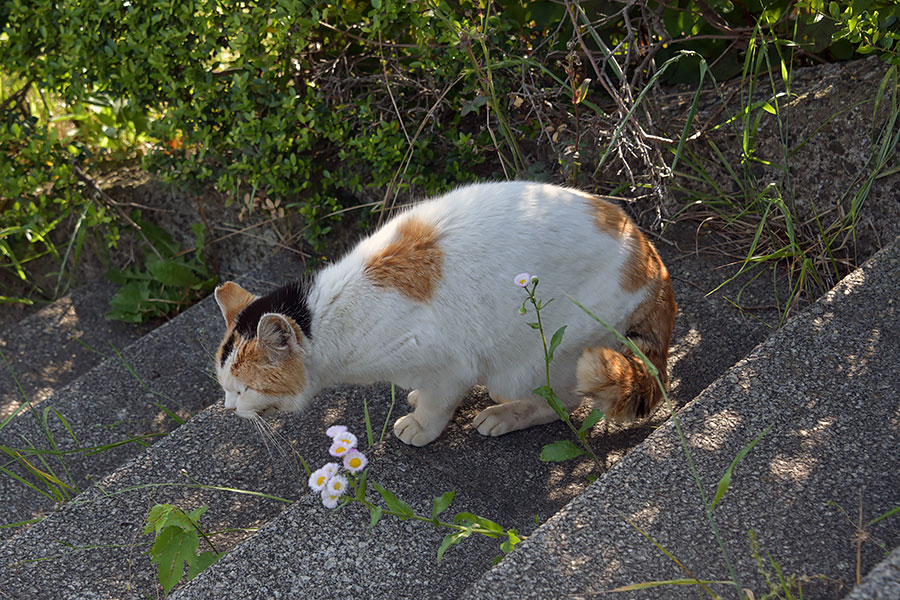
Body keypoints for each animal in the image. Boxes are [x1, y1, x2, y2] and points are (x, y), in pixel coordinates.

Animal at [213, 180, 676, 448]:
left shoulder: (447, 365)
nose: (229, 409)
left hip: (545, 354)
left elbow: (437, 404)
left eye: (245, 388)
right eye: (224, 387)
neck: (328, 318)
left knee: (562, 402)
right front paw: (415, 397)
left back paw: (502, 414)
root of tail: (652, 264)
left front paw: (420, 425)